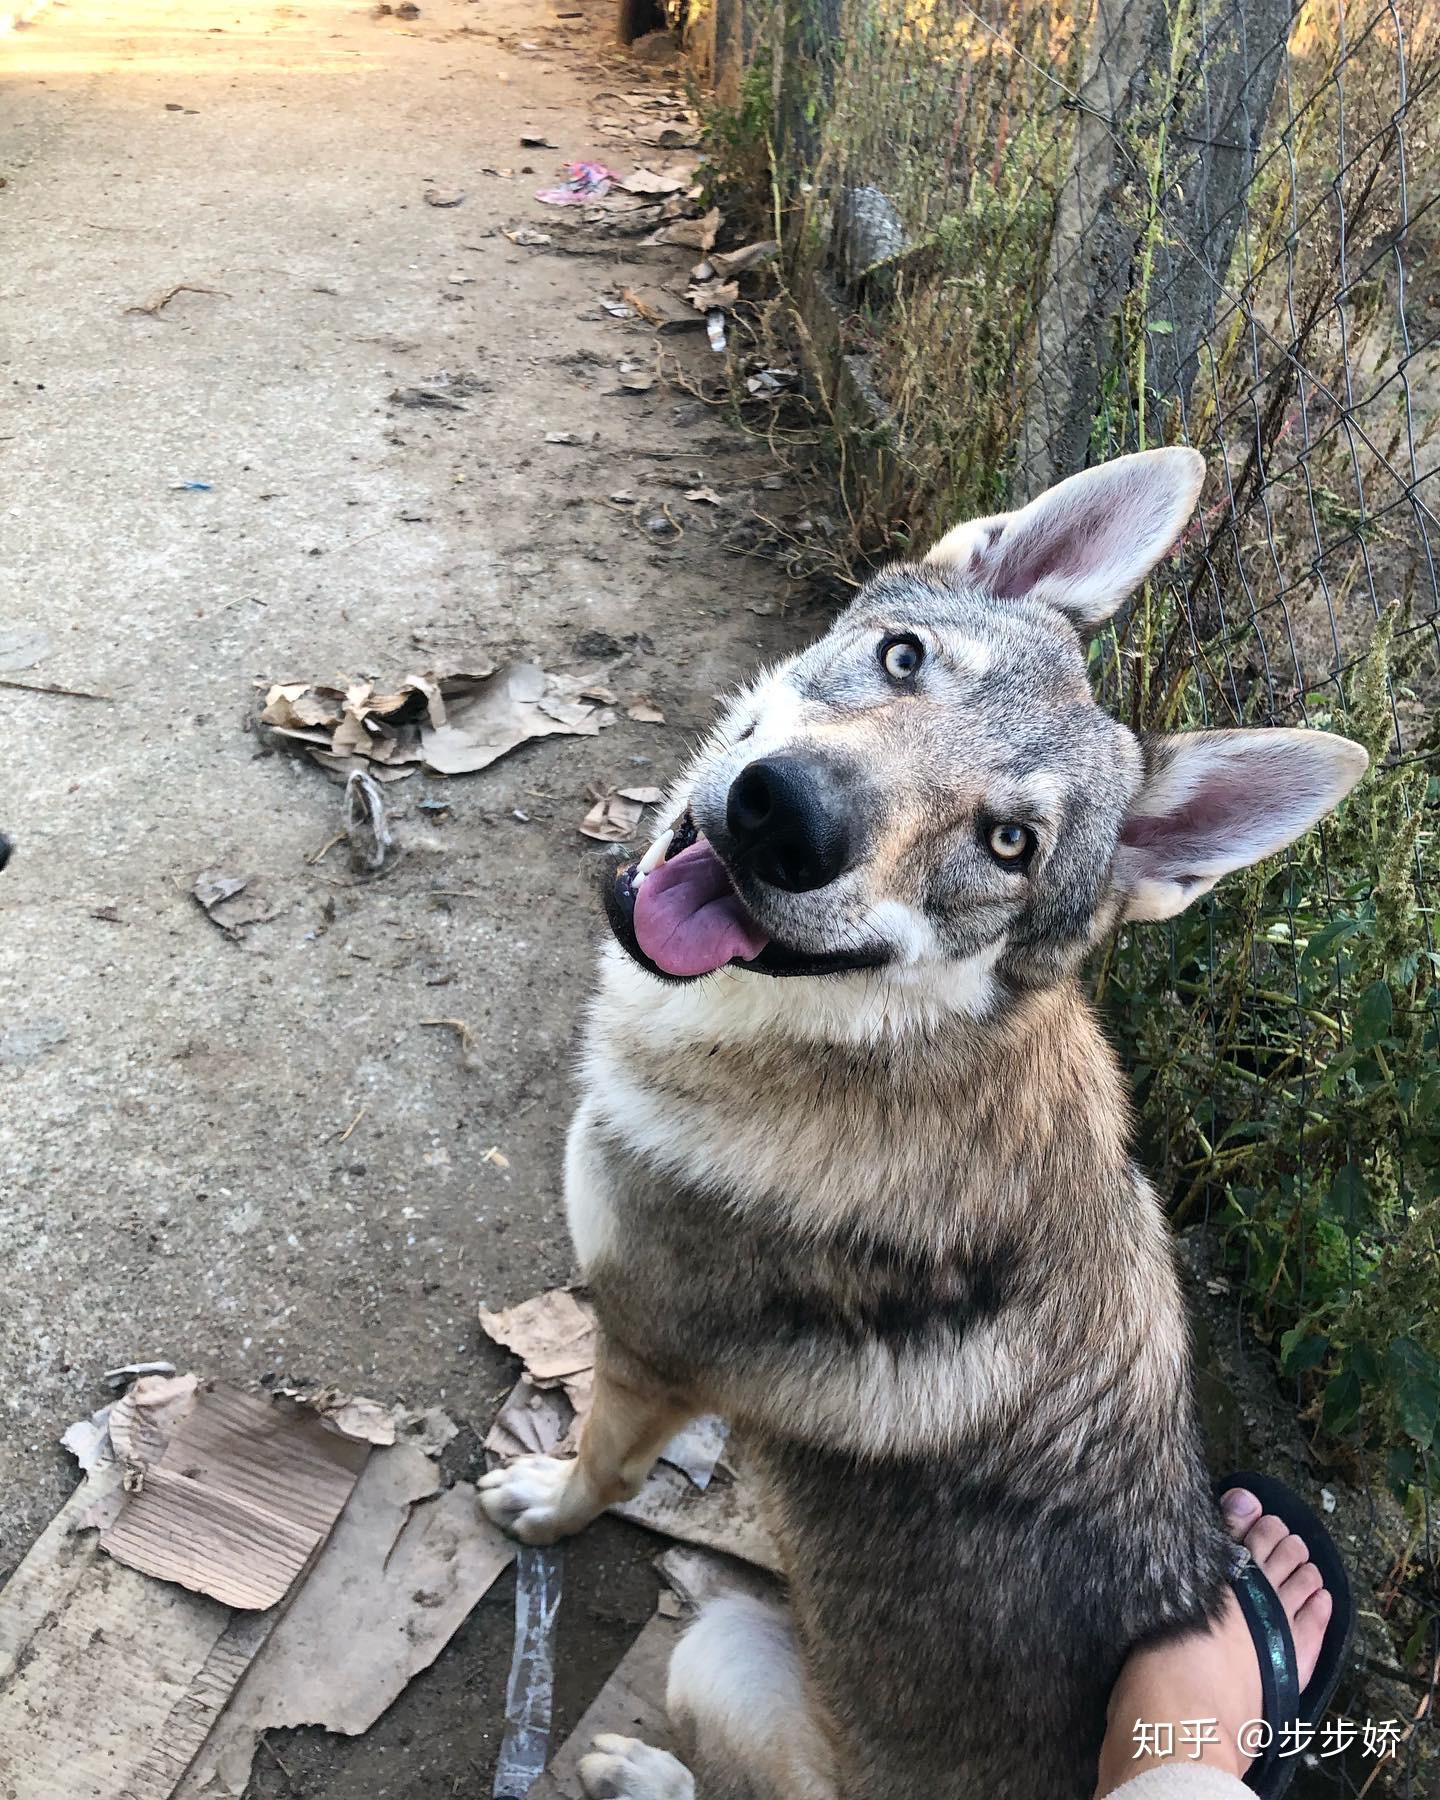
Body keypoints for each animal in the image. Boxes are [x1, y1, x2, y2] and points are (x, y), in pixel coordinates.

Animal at [478, 453, 1368, 1800]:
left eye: (1008, 843)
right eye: (903, 659)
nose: (783, 816)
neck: (846, 1054)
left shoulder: (642, 1356)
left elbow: (599, 1466)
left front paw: (547, 1503)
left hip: (719, 1650)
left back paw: (636, 1771)